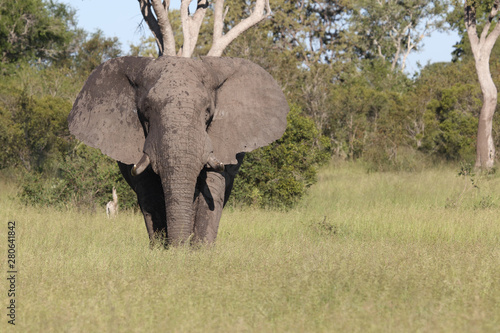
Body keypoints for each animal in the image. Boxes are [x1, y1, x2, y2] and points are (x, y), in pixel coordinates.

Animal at [67, 55, 290, 245]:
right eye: (146, 111)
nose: (179, 247)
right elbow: (150, 194)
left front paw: (198, 252)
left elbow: (210, 192)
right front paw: (164, 252)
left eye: (208, 112)